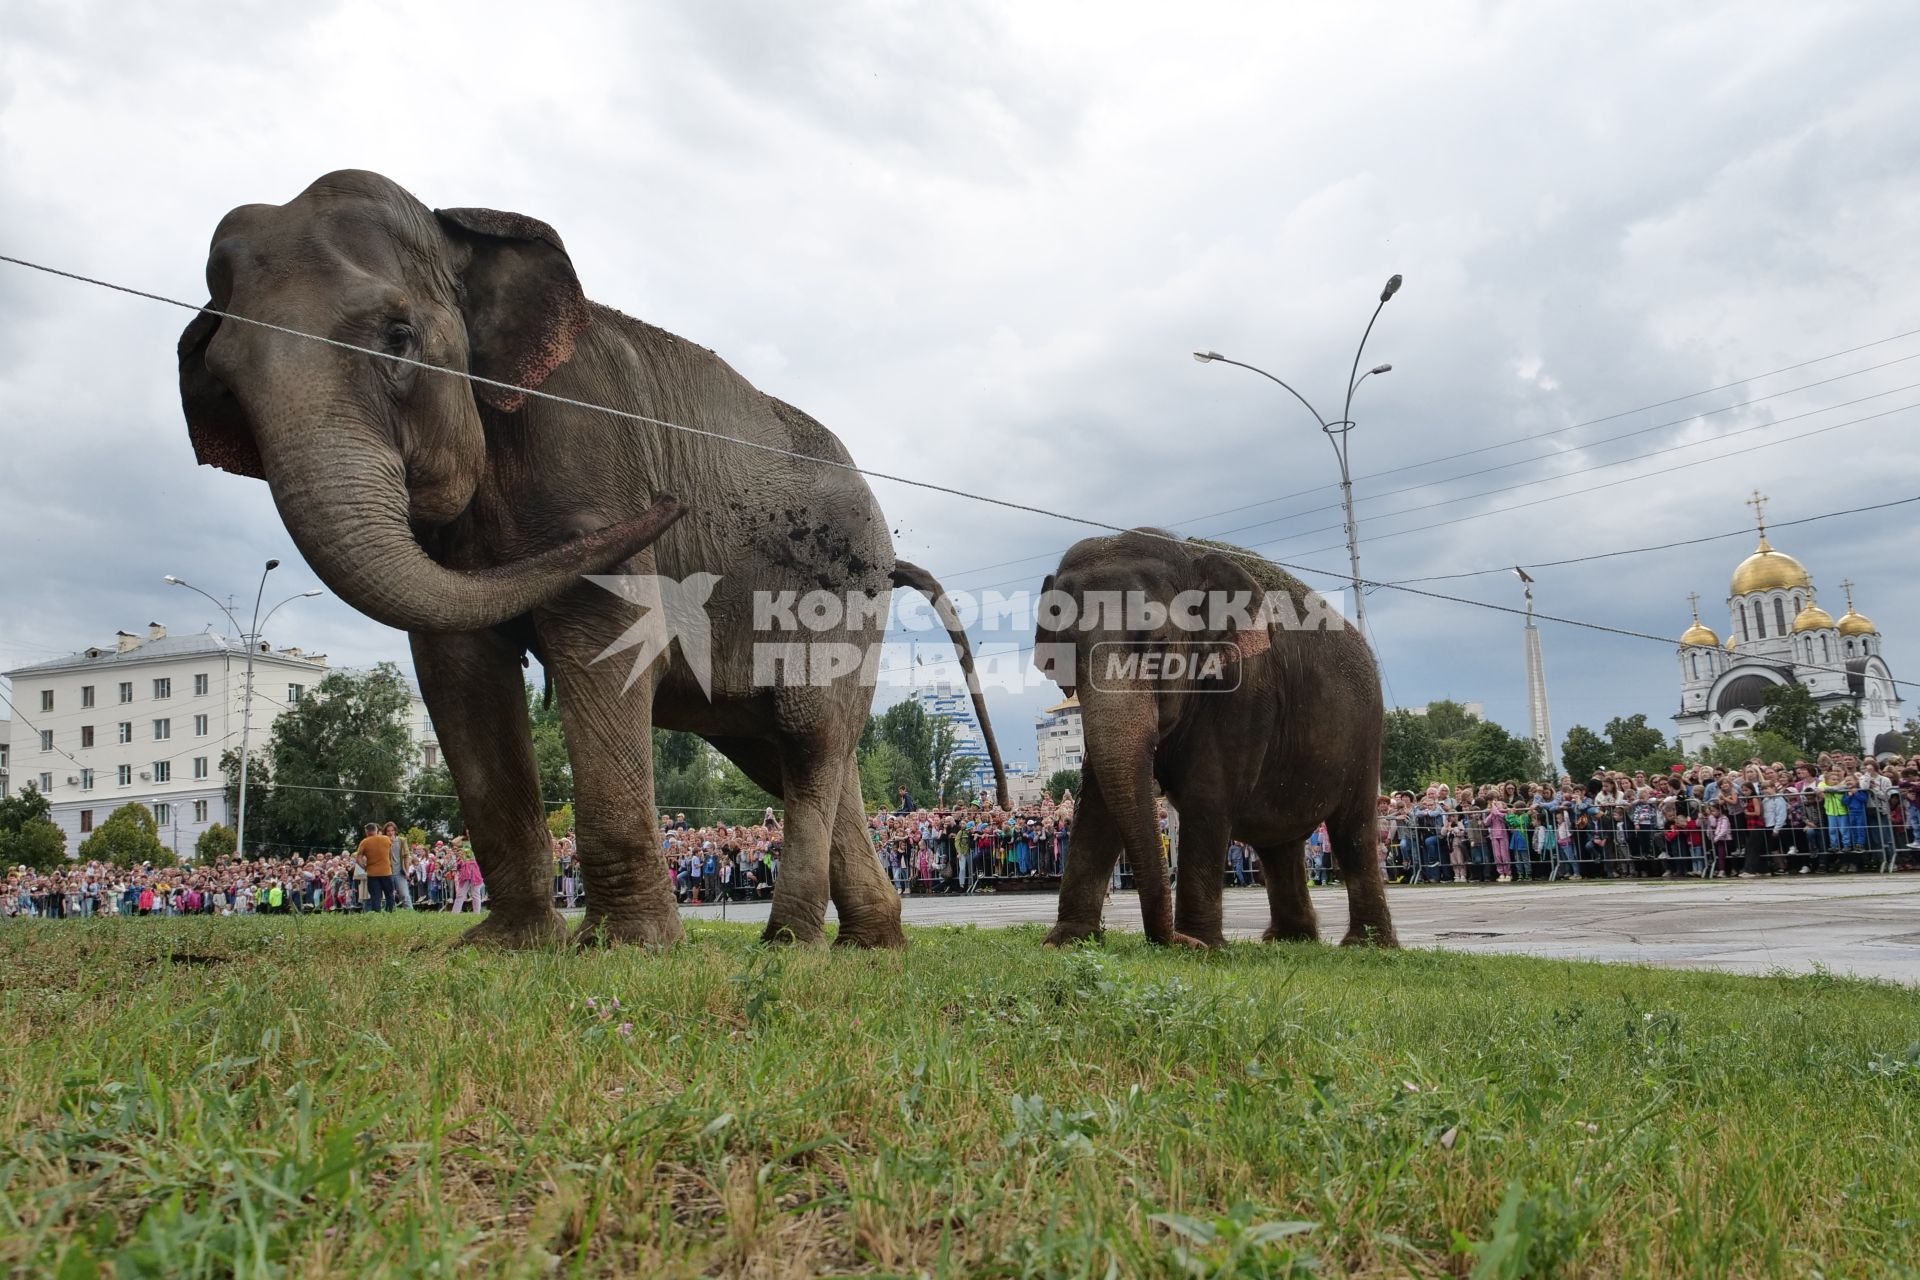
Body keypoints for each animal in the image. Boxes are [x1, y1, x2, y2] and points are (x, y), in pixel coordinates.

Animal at [180, 169, 1006, 951]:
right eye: (225, 379)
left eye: (398, 336)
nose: (670, 503)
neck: (458, 232)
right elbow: (459, 671)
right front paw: (502, 947)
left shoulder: (589, 456)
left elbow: (606, 638)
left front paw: (628, 948)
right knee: (802, 755)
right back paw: (870, 942)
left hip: (835, 599)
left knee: (806, 743)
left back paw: (789, 945)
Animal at [1036, 529, 1397, 951]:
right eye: (1063, 652)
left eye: (1158, 645)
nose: (1169, 940)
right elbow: (1096, 801)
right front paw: (1066, 941)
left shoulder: (1245, 688)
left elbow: (1206, 795)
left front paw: (1201, 944)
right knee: (1279, 844)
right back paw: (1289, 939)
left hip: (1365, 736)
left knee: (1352, 832)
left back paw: (1366, 945)